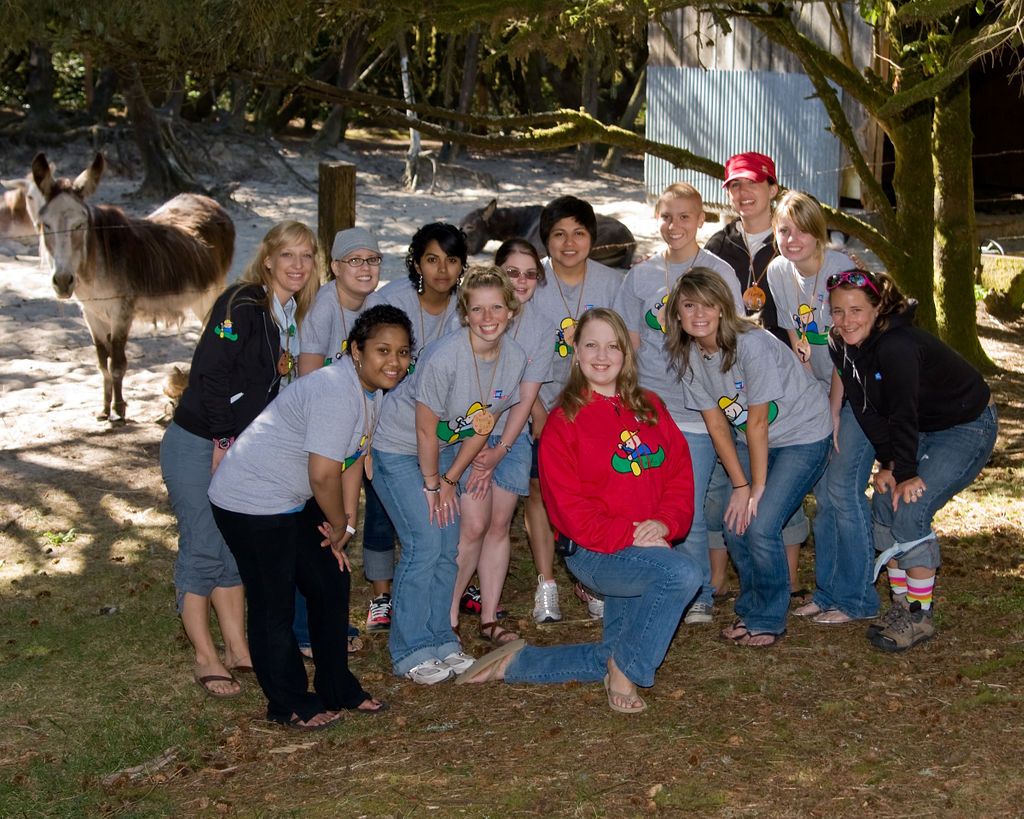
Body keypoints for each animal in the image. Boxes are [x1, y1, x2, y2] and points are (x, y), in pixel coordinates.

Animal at [33, 151, 234, 421]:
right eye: (46, 225)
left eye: (79, 225)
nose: (63, 281)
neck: (96, 266)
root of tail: (208, 201)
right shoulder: (92, 315)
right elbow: (102, 364)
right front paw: (104, 409)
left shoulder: (121, 313)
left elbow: (117, 364)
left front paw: (119, 410)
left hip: (209, 296)